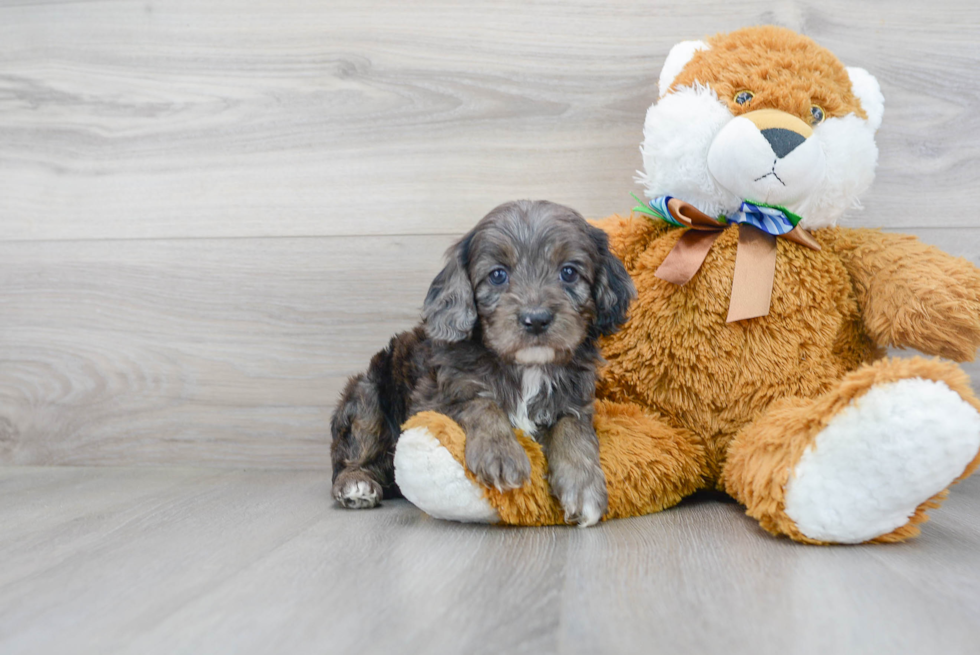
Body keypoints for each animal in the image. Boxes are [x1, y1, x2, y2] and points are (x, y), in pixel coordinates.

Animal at [330, 200, 636, 528]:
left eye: (569, 272)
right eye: (498, 275)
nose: (536, 319)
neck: (526, 368)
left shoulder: (575, 400)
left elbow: (573, 430)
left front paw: (583, 485)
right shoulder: (439, 394)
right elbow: (481, 404)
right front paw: (500, 455)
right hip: (366, 397)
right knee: (351, 455)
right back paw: (356, 483)